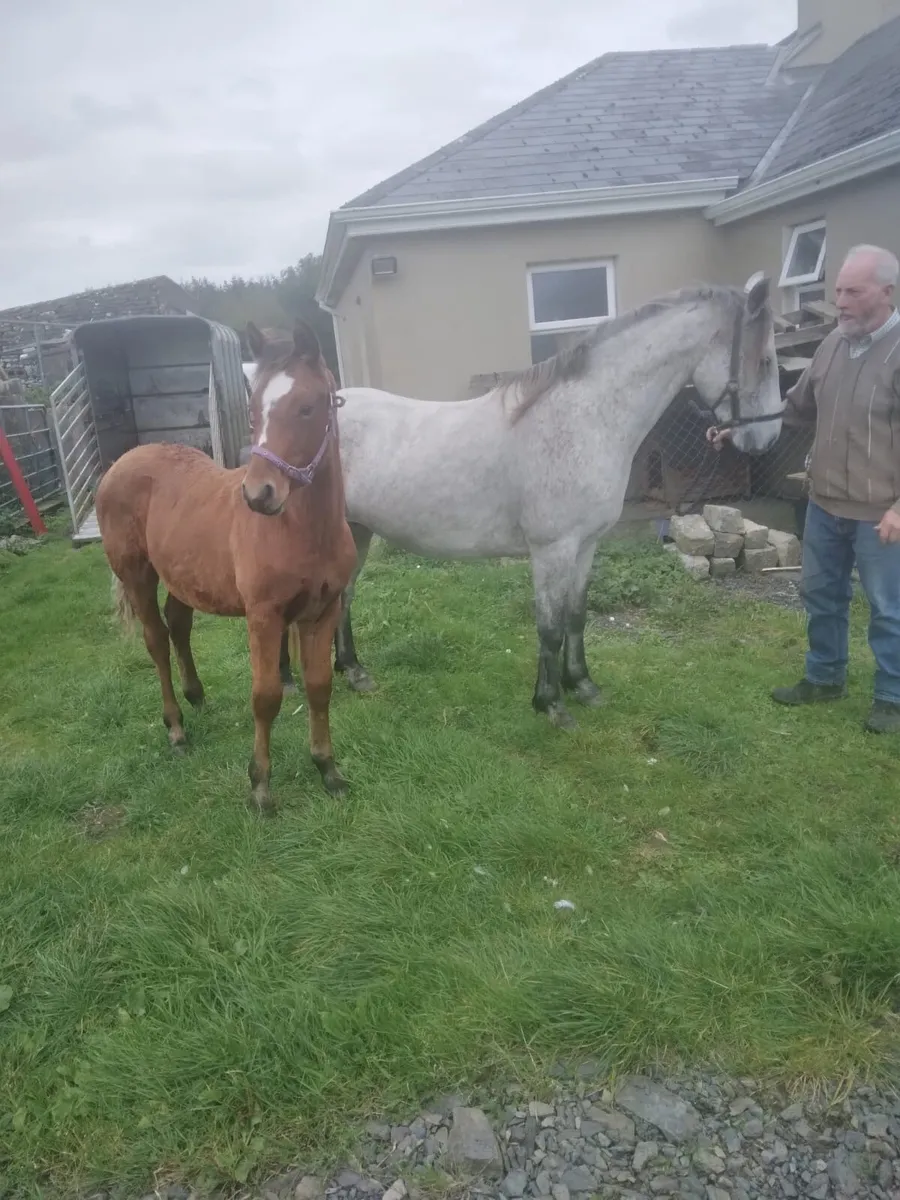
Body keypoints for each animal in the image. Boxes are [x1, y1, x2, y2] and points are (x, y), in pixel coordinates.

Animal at [95, 319, 358, 814]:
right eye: (253, 411)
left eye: (308, 407)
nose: (258, 495)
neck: (305, 530)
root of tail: (121, 462)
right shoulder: (264, 616)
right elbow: (266, 697)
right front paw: (261, 788)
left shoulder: (324, 610)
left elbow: (318, 687)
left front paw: (328, 771)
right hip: (137, 574)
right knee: (156, 639)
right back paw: (177, 729)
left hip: (183, 576)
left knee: (178, 625)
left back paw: (197, 696)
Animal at [318, 275, 785, 730]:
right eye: (765, 361)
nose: (768, 440)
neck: (584, 418)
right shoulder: (552, 549)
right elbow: (550, 627)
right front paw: (551, 705)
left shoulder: (586, 545)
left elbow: (575, 617)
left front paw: (583, 686)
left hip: (357, 531)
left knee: (343, 597)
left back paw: (353, 671)